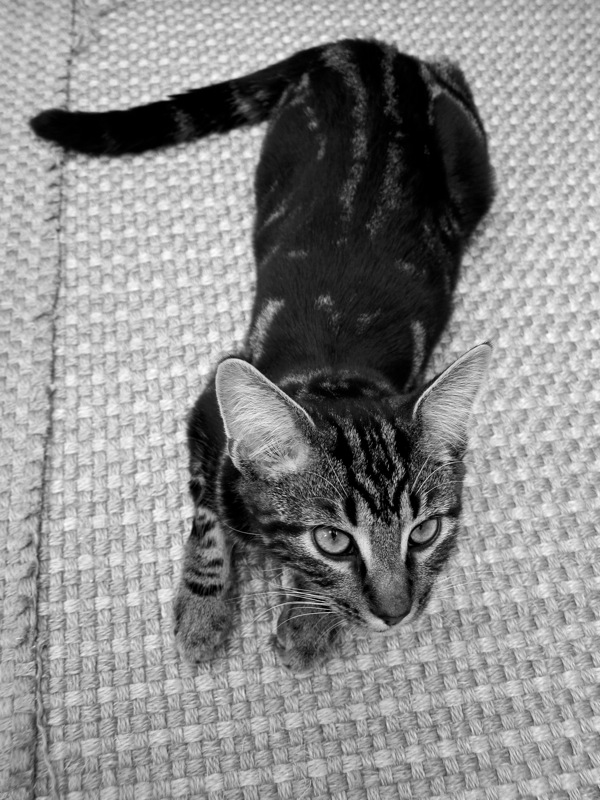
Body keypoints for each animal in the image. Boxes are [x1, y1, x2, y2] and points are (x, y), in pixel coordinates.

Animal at [31, 38, 495, 672]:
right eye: (333, 540)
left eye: (423, 533)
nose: (397, 614)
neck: (336, 371)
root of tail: (367, 50)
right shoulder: (206, 414)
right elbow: (207, 520)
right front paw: (203, 611)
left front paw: (305, 619)